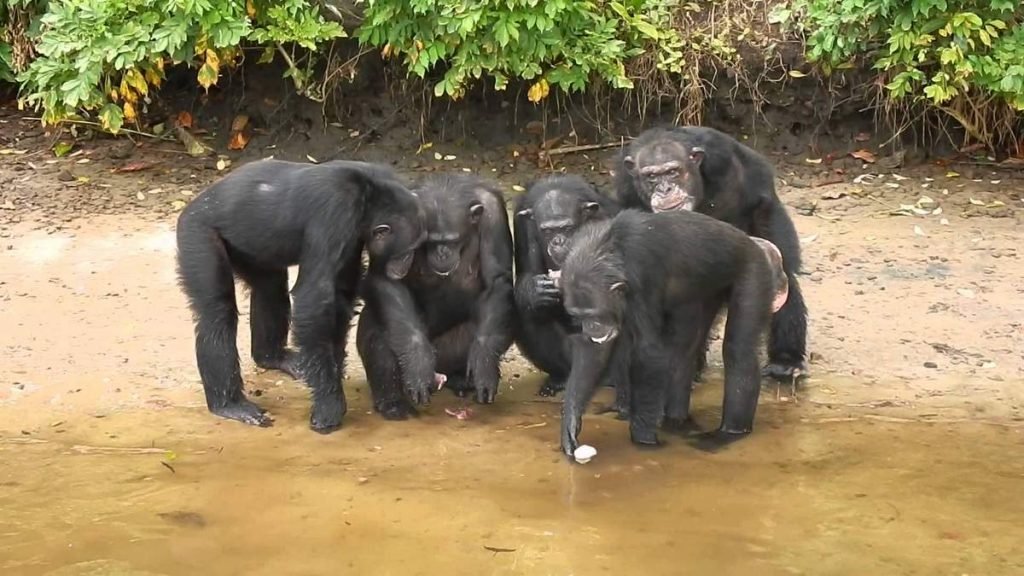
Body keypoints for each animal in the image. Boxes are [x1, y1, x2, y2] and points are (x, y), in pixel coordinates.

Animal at [176, 156, 423, 430]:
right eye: (408, 250)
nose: (406, 265)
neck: (369, 197)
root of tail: (195, 203)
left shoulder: (353, 237)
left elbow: (341, 293)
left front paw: (333, 368)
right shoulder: (336, 214)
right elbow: (315, 297)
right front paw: (329, 403)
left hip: (250, 249)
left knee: (270, 288)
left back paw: (272, 357)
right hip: (197, 234)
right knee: (217, 312)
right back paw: (229, 404)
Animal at [356, 170, 516, 416]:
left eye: (452, 240)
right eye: (430, 241)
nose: (442, 253)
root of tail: (440, 372)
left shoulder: (494, 213)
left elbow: (497, 280)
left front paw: (485, 364)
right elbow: (386, 277)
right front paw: (417, 360)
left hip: (446, 354)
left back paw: (461, 380)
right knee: (377, 327)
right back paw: (392, 402)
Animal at [512, 175, 622, 399]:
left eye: (567, 228)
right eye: (547, 231)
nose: (557, 241)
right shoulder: (523, 225)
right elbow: (527, 272)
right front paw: (535, 291)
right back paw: (559, 378)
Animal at [557, 208, 778, 459]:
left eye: (594, 315)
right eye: (579, 315)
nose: (592, 327)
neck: (607, 250)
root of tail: (751, 241)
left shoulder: (643, 276)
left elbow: (648, 353)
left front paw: (643, 438)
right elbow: (595, 351)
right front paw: (570, 424)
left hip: (755, 269)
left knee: (738, 351)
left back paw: (728, 433)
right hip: (702, 293)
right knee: (684, 351)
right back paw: (677, 422)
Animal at [614, 124, 806, 381]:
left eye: (673, 172)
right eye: (651, 177)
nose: (665, 188)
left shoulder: (724, 159)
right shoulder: (625, 189)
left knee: (783, 273)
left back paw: (785, 361)